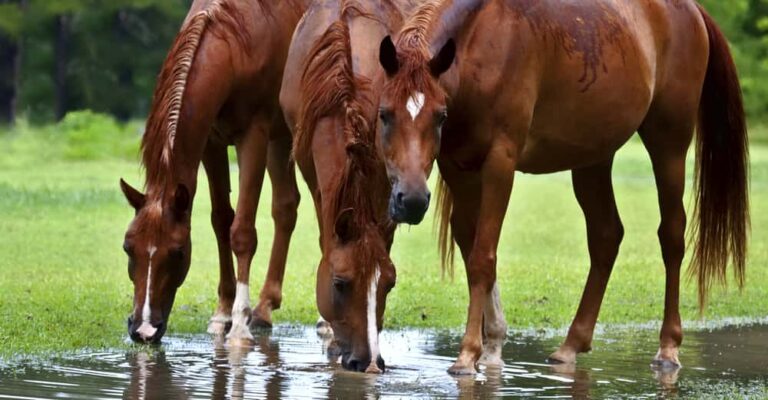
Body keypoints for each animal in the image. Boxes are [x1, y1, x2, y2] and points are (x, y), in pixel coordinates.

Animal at [119, 0, 310, 345]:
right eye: (128, 247)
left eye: (178, 252)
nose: (143, 329)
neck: (235, 45)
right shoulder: (211, 142)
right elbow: (221, 221)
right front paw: (222, 314)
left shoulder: (254, 137)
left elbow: (242, 232)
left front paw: (239, 323)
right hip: (281, 139)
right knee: (286, 207)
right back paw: (265, 307)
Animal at [375, 0, 749, 374]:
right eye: (384, 114)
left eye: (439, 115)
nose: (411, 201)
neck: (482, 41)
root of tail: (692, 11)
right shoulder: (458, 167)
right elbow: (472, 250)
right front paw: (491, 345)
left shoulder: (500, 162)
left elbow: (483, 256)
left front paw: (469, 354)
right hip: (593, 158)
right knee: (606, 236)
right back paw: (571, 345)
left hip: (668, 144)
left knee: (671, 235)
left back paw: (668, 347)